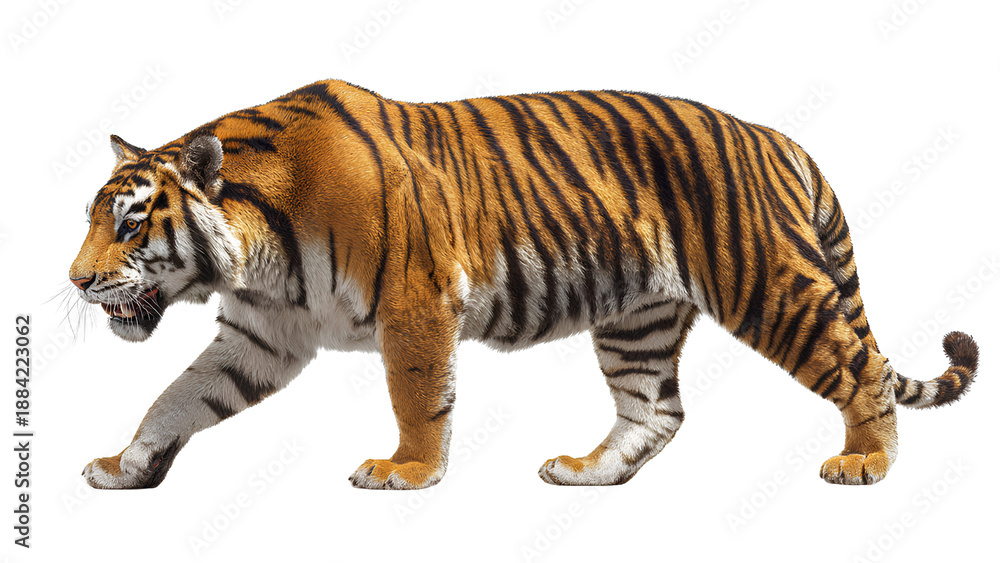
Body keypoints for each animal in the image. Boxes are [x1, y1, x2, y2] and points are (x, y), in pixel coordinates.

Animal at [69, 79, 978, 490]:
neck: (255, 247)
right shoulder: (261, 333)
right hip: (638, 318)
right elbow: (179, 396)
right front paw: (124, 462)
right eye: (90, 217)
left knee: (861, 366)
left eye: (130, 223)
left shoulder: (415, 303)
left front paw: (405, 472)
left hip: (768, 284)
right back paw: (585, 470)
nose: (76, 281)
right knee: (656, 409)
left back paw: (864, 461)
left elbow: (417, 397)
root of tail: (774, 135)